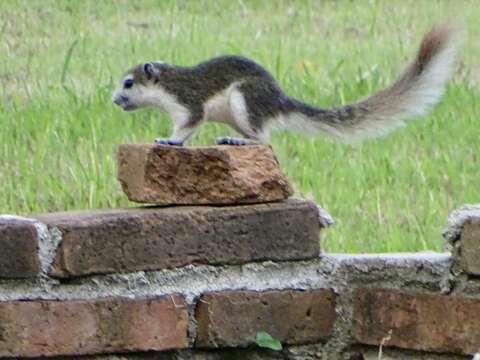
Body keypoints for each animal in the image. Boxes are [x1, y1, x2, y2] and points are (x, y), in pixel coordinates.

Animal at [111, 24, 454, 146]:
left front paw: (170, 140)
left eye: (128, 83)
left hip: (245, 100)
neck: (167, 84)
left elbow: (188, 125)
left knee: (264, 139)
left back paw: (240, 142)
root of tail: (279, 101)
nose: (115, 101)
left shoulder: (189, 101)